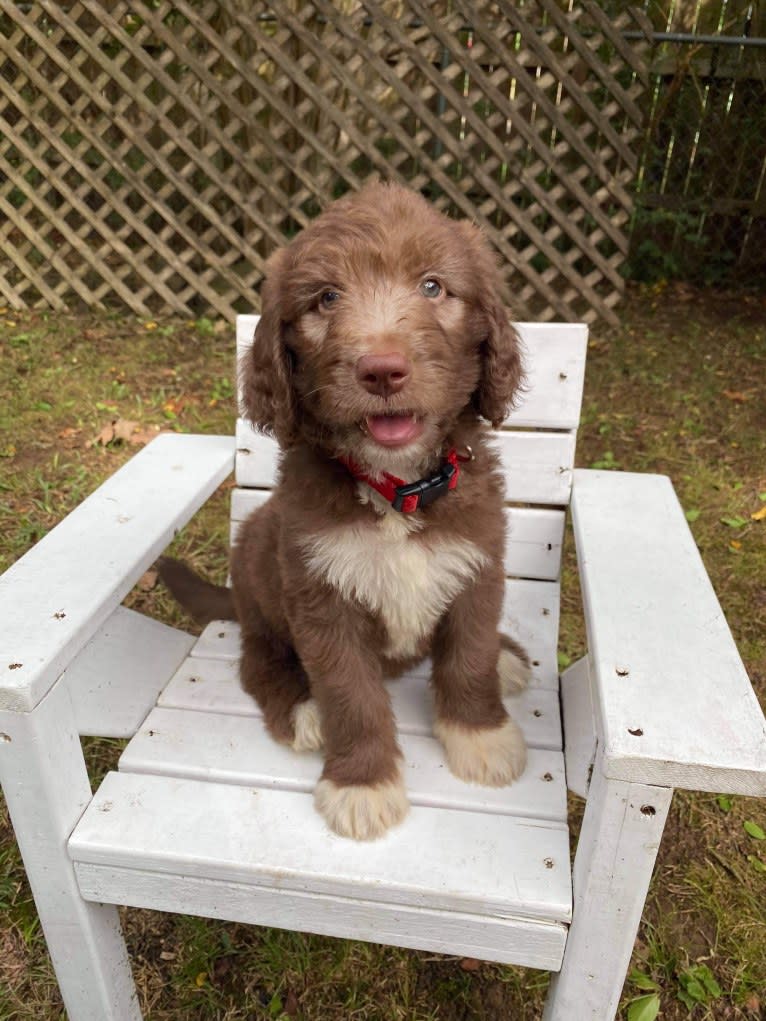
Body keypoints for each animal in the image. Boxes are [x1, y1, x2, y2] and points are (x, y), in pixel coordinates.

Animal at [163, 183, 535, 837]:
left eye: (433, 286)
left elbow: (468, 655)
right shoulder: (320, 595)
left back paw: (507, 659)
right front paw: (362, 784)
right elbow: (350, 695)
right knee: (259, 660)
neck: (397, 489)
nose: (382, 370)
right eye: (327, 298)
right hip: (260, 573)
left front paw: (480, 735)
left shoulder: (477, 566)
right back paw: (299, 710)